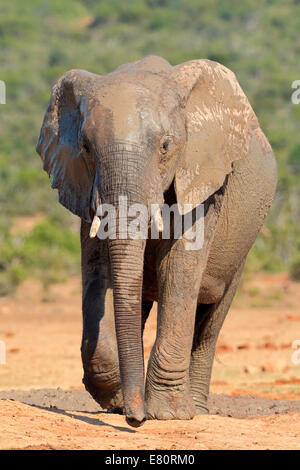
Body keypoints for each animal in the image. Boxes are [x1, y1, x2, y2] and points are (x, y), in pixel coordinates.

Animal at [36, 54, 278, 426]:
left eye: (166, 146)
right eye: (86, 148)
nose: (135, 420)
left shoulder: (202, 180)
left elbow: (177, 271)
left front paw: (169, 415)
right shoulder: (84, 186)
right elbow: (98, 272)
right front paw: (118, 400)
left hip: (244, 243)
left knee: (211, 318)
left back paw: (197, 409)